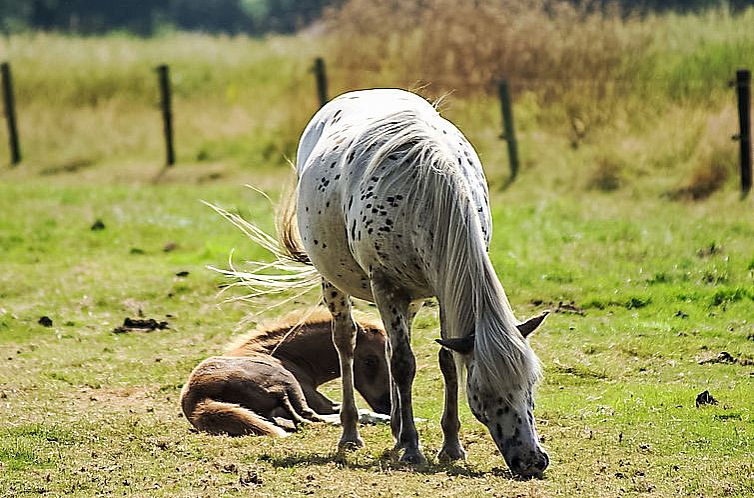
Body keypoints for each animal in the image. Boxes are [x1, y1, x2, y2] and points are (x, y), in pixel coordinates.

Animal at [180, 310, 390, 438]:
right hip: (288, 383)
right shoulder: (318, 400)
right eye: (371, 361)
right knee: (308, 418)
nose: (387, 405)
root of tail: (197, 400)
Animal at [278, 87, 548, 476]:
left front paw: (451, 446)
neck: (425, 195)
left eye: (531, 385)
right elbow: (405, 365)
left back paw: (395, 429)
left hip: (412, 298)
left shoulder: (443, 290)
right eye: (485, 393)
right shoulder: (385, 285)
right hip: (335, 283)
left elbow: (446, 361)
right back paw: (351, 433)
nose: (532, 461)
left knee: (392, 348)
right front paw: (411, 448)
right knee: (347, 342)